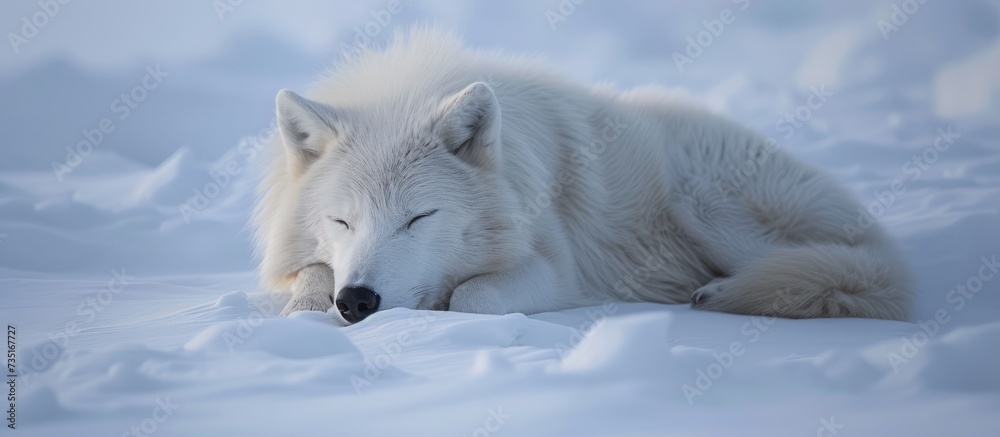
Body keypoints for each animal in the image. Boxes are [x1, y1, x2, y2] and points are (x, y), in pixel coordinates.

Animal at [254, 29, 911, 324]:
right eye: (342, 221)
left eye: (419, 218)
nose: (358, 301)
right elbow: (309, 281)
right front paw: (314, 307)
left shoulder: (553, 268)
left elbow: (473, 296)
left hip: (705, 203)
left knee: (836, 270)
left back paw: (723, 293)